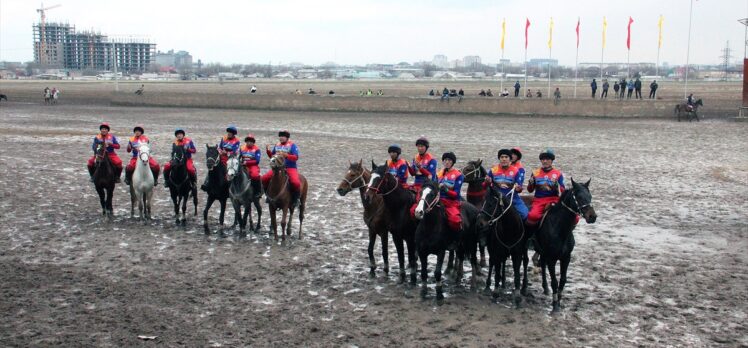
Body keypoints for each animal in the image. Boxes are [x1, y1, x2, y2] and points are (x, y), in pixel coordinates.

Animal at [536, 178, 600, 312]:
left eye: (590, 196)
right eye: (579, 197)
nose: (592, 217)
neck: (560, 229)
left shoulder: (566, 257)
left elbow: (563, 280)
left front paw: (559, 301)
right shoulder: (552, 258)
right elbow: (554, 281)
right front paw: (555, 305)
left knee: (542, 264)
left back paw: (545, 288)